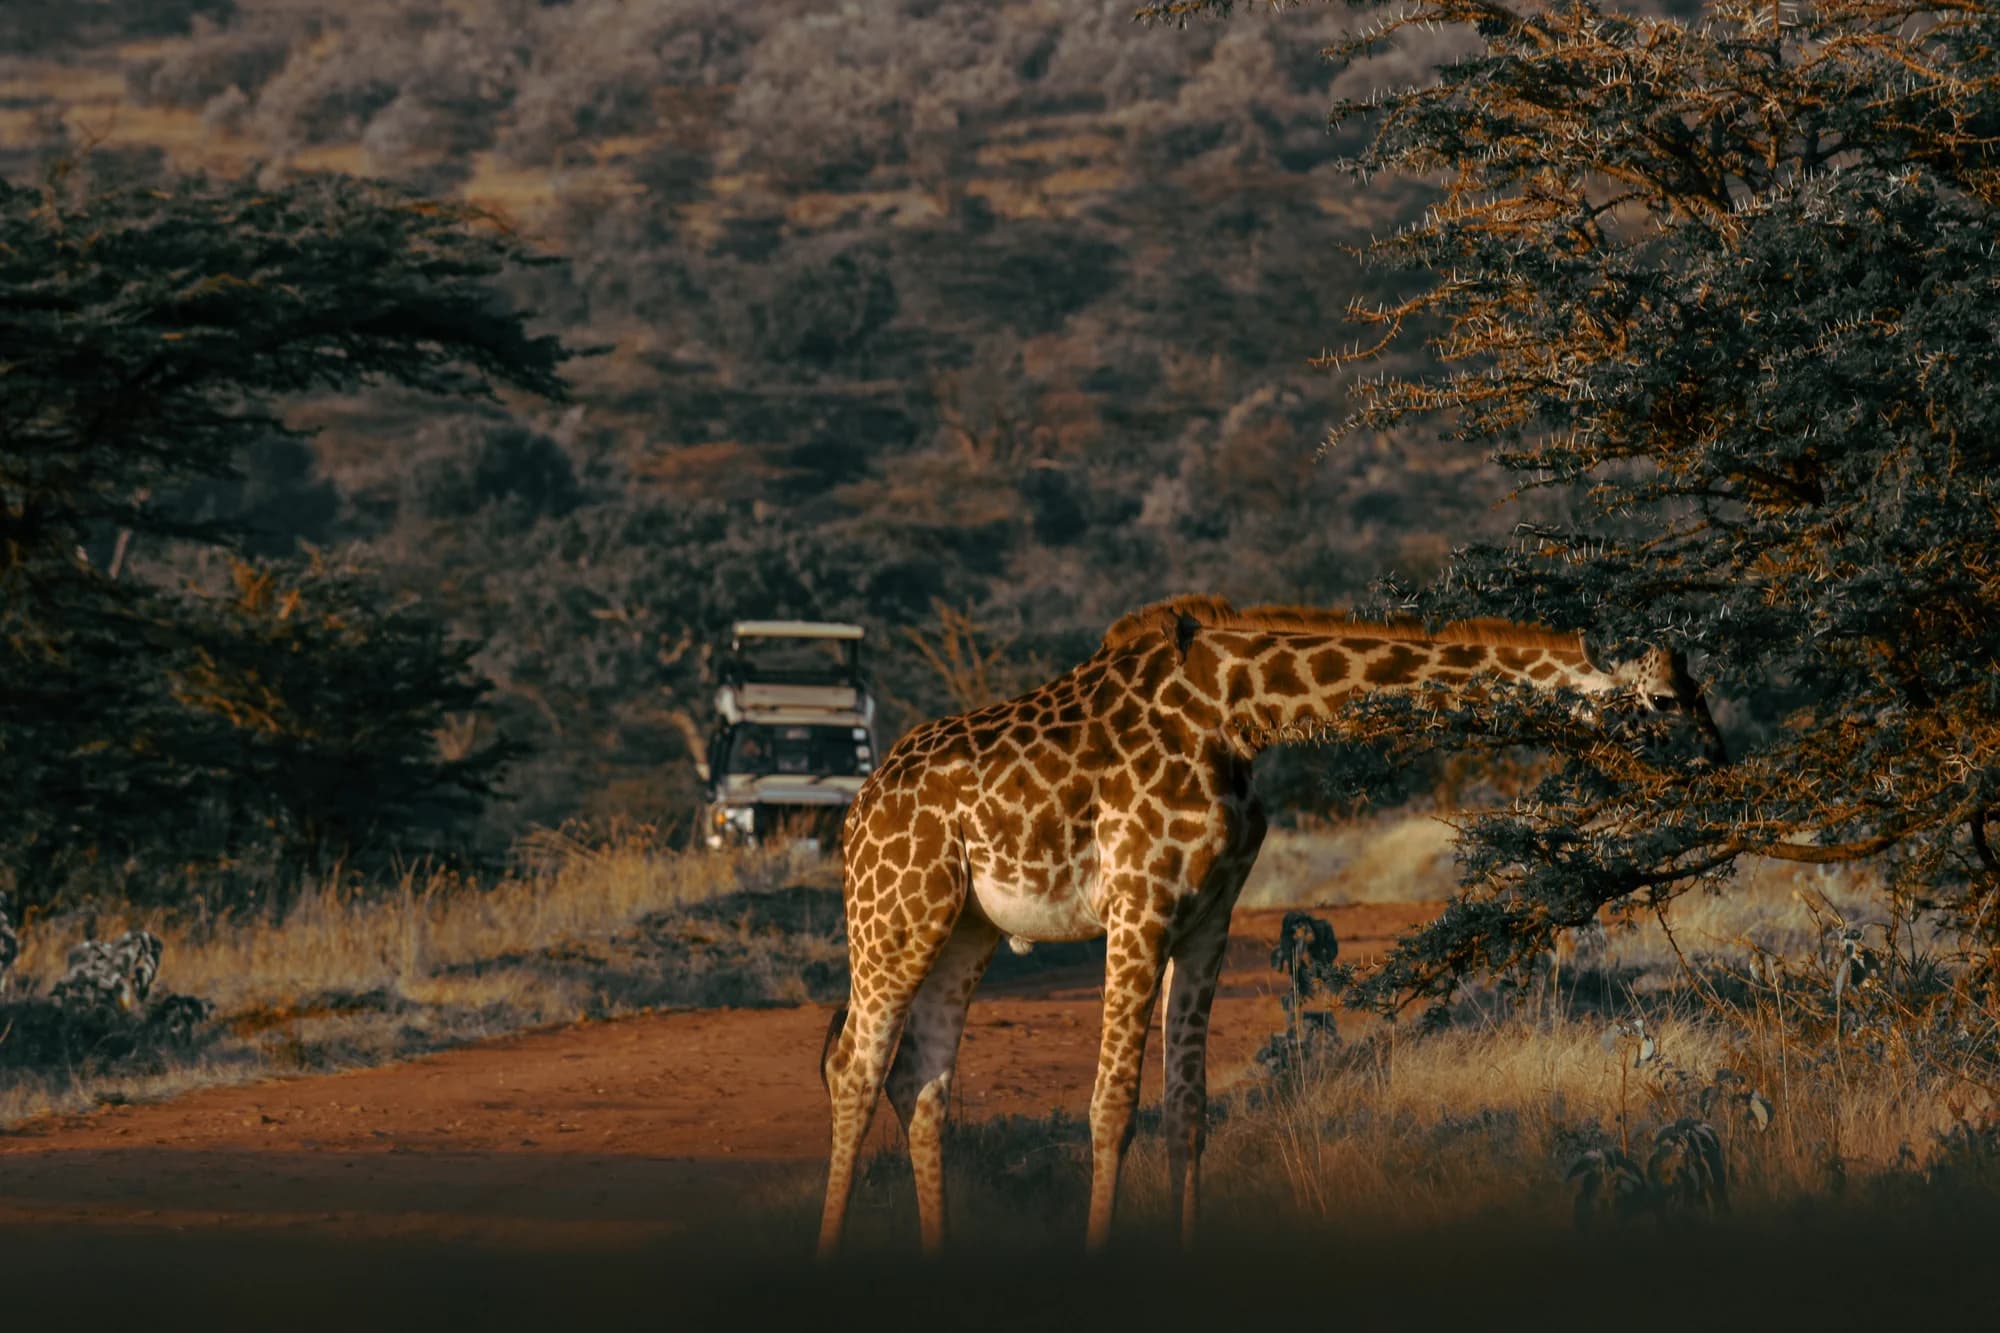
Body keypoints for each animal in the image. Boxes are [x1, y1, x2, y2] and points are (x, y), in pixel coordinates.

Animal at [817, 594, 1718, 1258]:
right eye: (1665, 701)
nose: (1718, 763)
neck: (1239, 710)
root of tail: (860, 806)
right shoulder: (1139, 903)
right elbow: (1113, 1105)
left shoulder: (1209, 915)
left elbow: (1188, 1107)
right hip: (895, 912)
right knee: (855, 1066)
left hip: (964, 925)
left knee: (918, 1078)